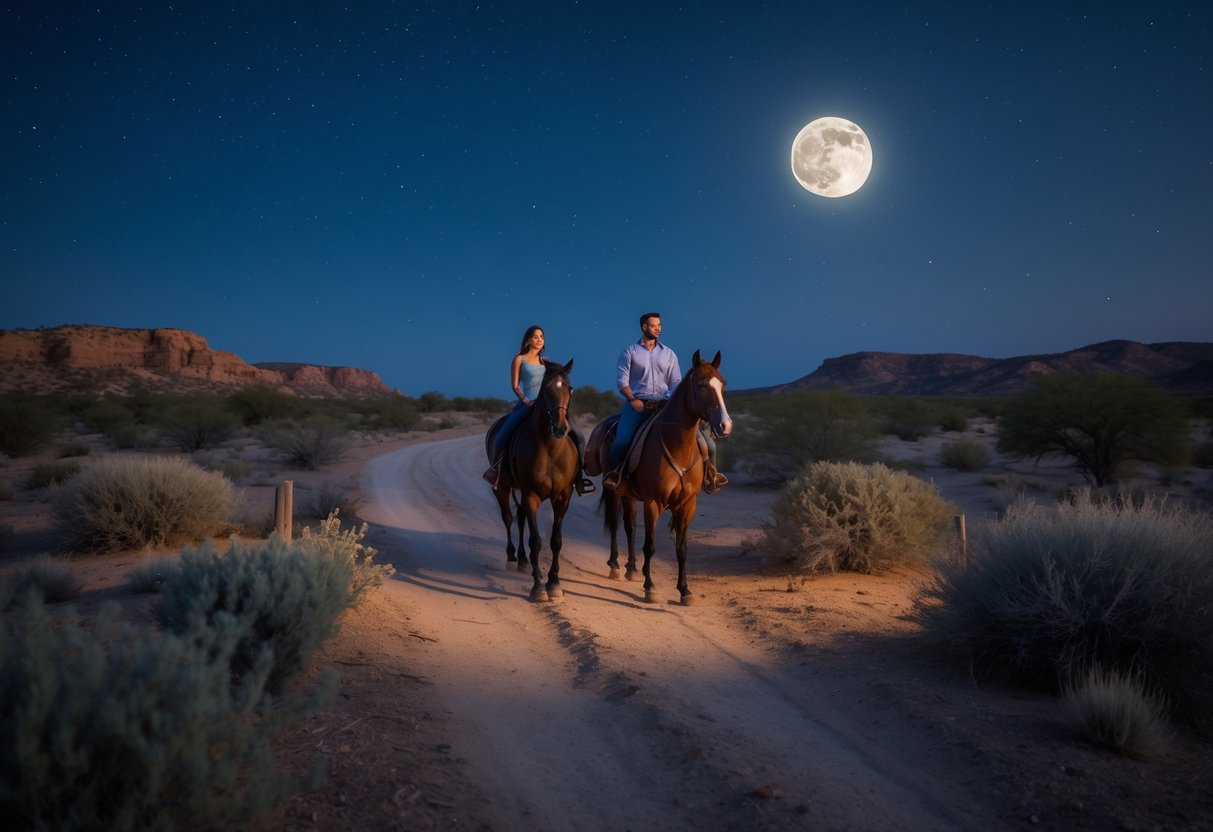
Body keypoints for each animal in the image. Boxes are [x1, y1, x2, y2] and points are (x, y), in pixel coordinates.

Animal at [484, 359, 580, 602]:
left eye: (570, 388)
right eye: (546, 389)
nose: (559, 428)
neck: (550, 449)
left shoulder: (563, 496)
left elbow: (556, 540)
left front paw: (554, 583)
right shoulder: (531, 495)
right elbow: (535, 541)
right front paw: (538, 587)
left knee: (519, 519)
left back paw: (522, 559)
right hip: (503, 487)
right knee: (508, 518)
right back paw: (512, 557)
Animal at [591, 350, 732, 605]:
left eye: (722, 384)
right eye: (701, 385)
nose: (725, 425)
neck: (678, 447)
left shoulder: (687, 505)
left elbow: (682, 549)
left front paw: (685, 590)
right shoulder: (653, 502)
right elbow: (650, 546)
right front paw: (650, 588)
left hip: (628, 494)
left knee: (629, 526)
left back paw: (631, 569)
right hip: (614, 489)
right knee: (616, 524)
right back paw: (615, 565)